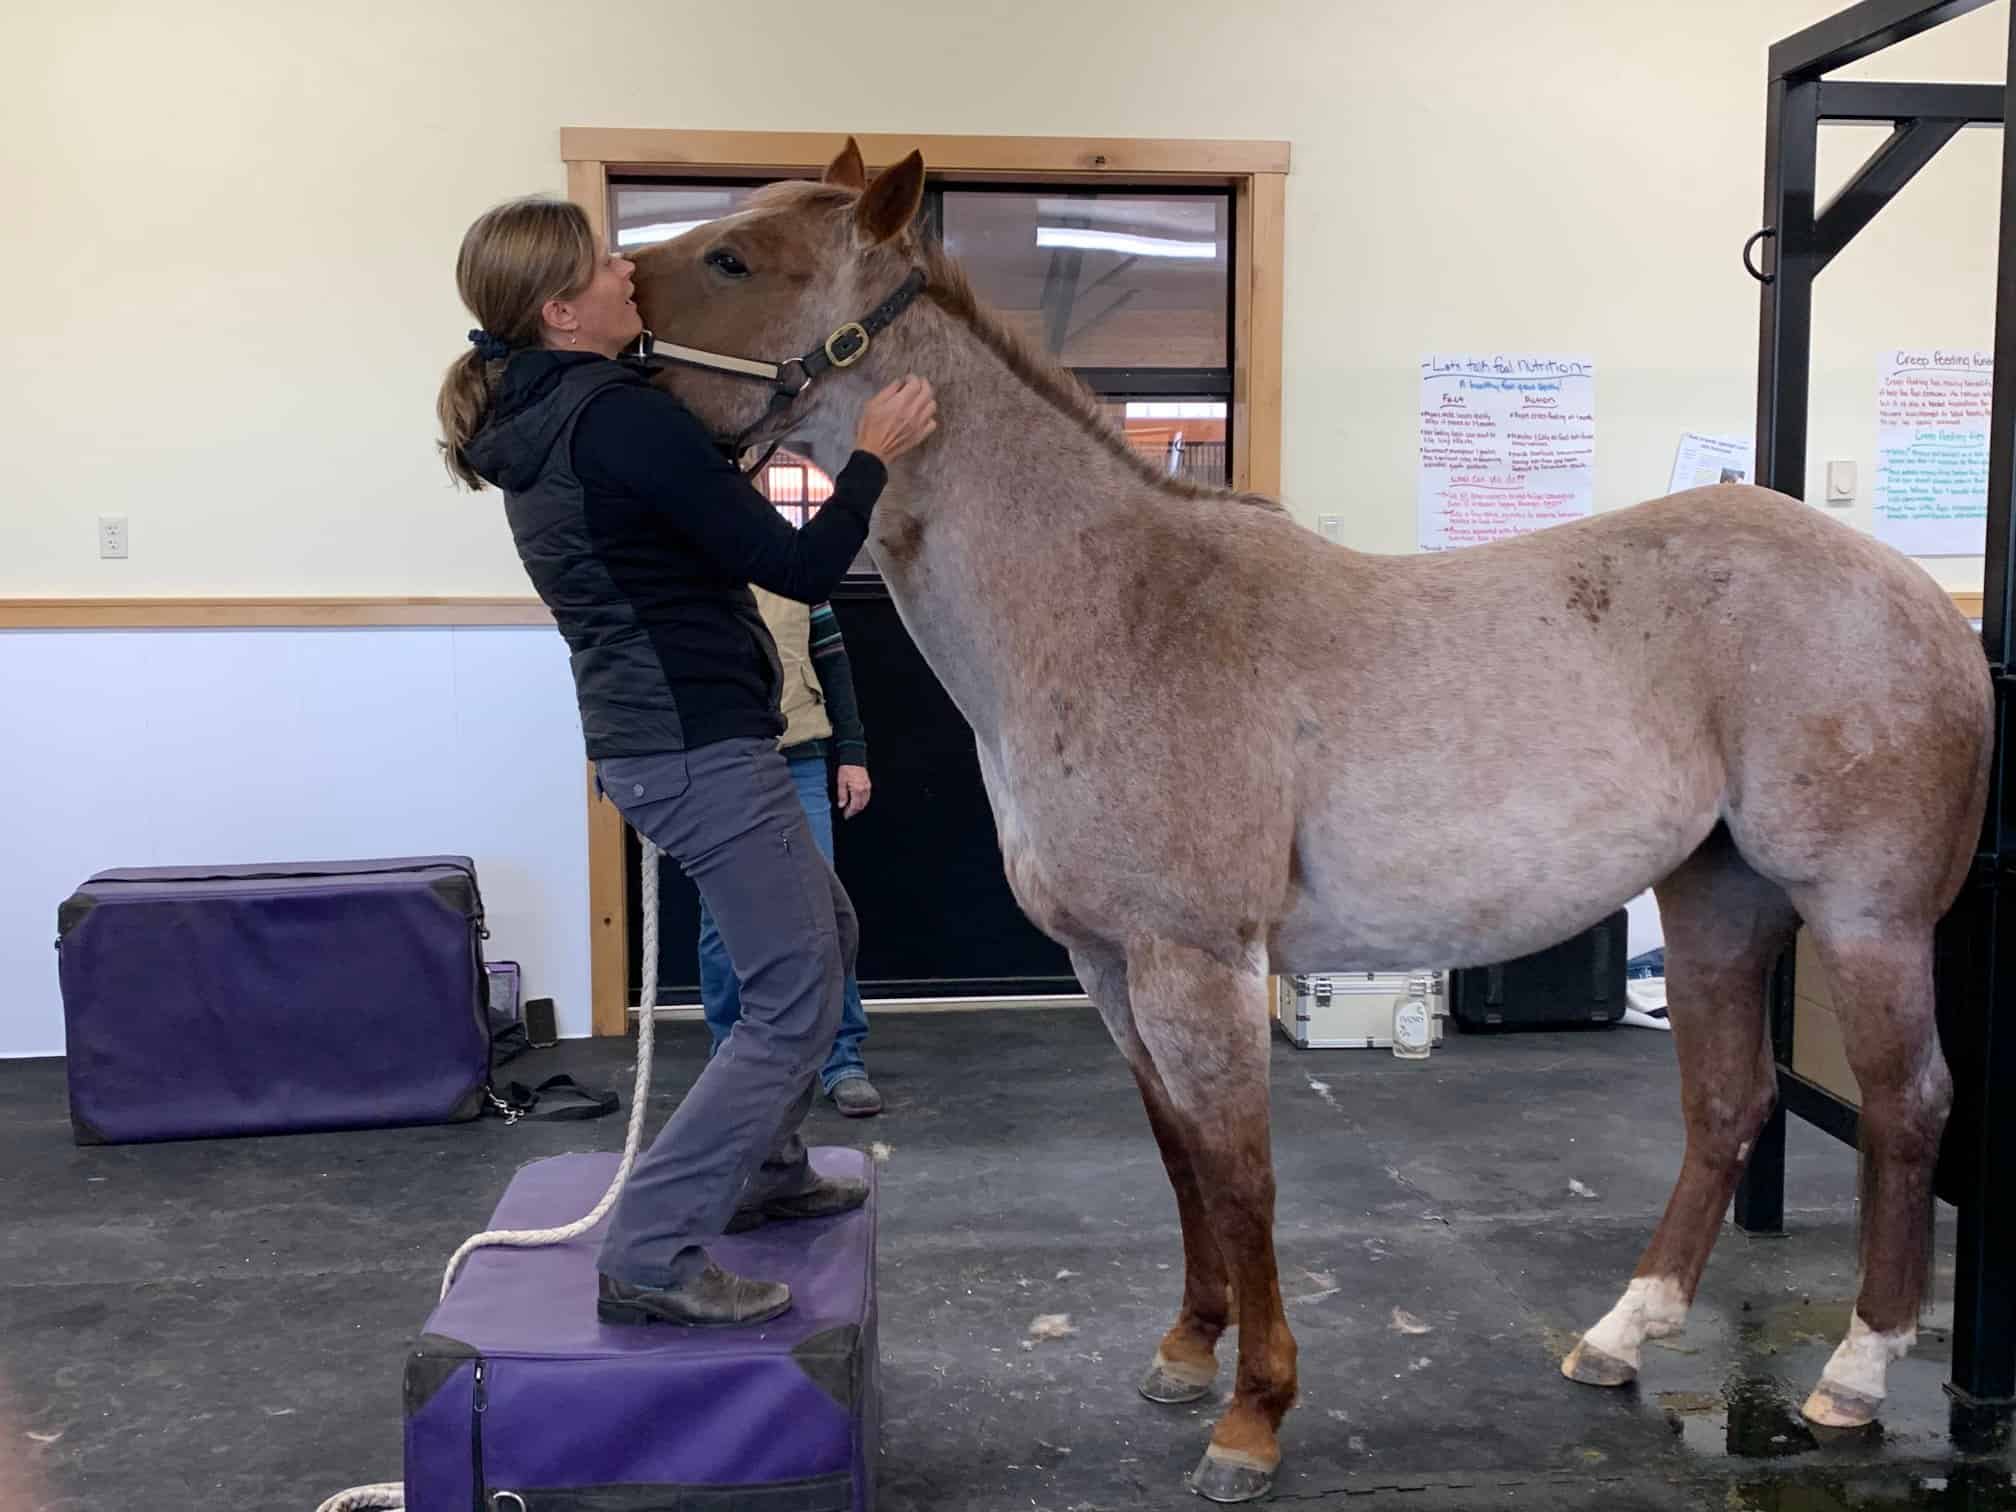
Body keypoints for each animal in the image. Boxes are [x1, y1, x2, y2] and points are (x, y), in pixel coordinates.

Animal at [633, 139, 1999, 1507]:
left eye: (733, 258)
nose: (584, 349)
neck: (1112, 605)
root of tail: (1919, 599)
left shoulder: (1198, 962)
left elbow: (1243, 1174)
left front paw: (1252, 1418)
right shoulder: (1110, 964)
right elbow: (1180, 1154)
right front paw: (1188, 1350)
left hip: (1864, 917)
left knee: (1908, 1107)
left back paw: (1854, 1376)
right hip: (1719, 897)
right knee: (1727, 1102)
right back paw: (1621, 1337)